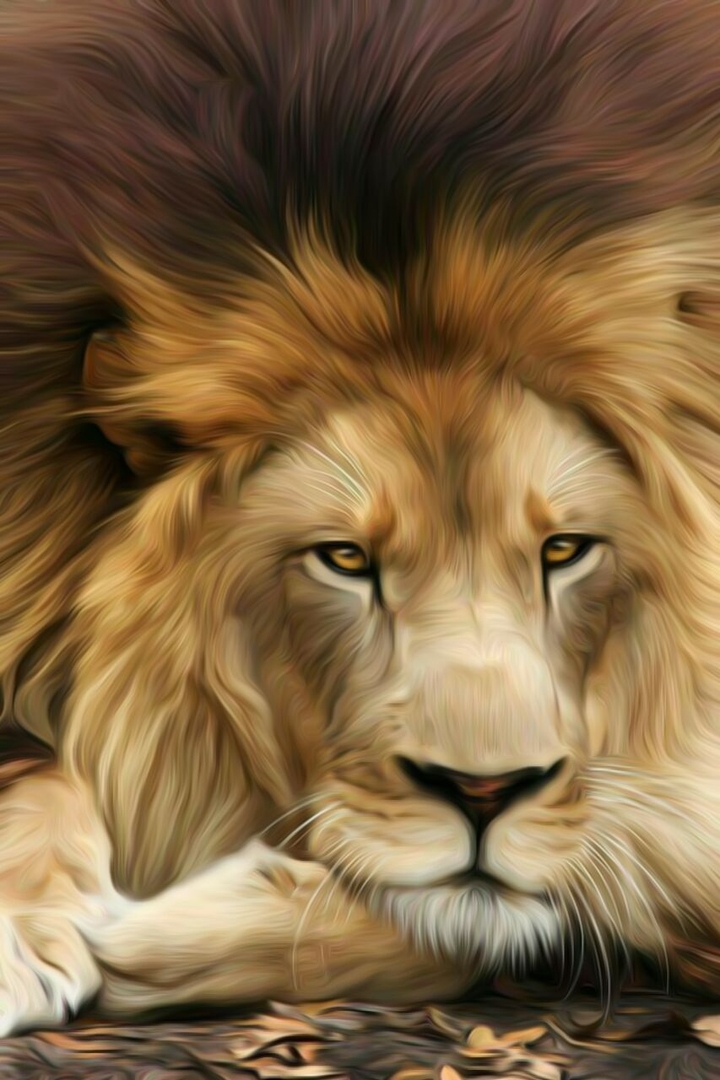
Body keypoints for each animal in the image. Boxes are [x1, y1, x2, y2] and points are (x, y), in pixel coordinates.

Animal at [0, 0, 720, 1036]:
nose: (485, 792)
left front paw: (158, 938)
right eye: (342, 558)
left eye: (565, 549)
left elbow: (495, 915)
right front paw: (20, 931)